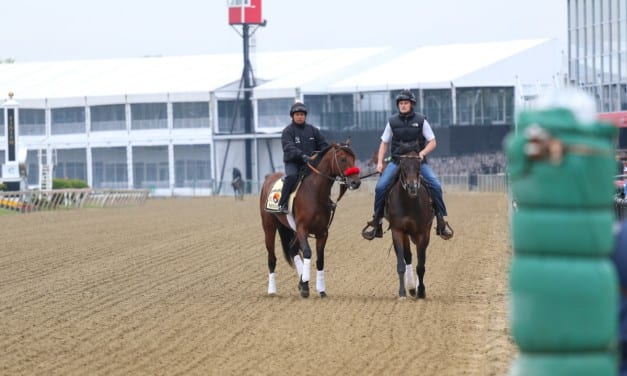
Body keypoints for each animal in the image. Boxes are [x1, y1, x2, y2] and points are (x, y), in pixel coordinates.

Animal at [258, 142, 360, 298]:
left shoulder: (322, 233)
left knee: (293, 249)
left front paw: (320, 289)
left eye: (353, 158)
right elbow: (307, 253)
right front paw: (306, 286)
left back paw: (300, 281)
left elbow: (320, 259)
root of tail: (269, 178)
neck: (315, 193)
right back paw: (272, 290)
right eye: (343, 159)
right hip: (269, 226)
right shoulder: (302, 229)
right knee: (272, 258)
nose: (356, 182)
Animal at [386, 141, 434, 300]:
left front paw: (421, 290)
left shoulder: (422, 232)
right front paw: (403, 292)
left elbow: (421, 265)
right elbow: (401, 263)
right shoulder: (398, 231)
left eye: (419, 163)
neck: (408, 203)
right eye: (403, 164)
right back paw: (411, 287)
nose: (412, 187)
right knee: (408, 256)